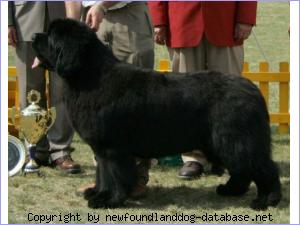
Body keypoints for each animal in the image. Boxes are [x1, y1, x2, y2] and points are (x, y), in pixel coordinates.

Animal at [32, 18, 282, 210]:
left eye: (50, 36)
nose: (34, 35)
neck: (90, 77)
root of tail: (253, 89)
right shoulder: (101, 149)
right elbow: (101, 174)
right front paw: (96, 193)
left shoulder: (112, 148)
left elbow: (112, 175)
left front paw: (107, 200)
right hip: (223, 143)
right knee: (243, 170)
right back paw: (230, 190)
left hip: (236, 140)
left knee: (264, 168)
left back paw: (266, 200)